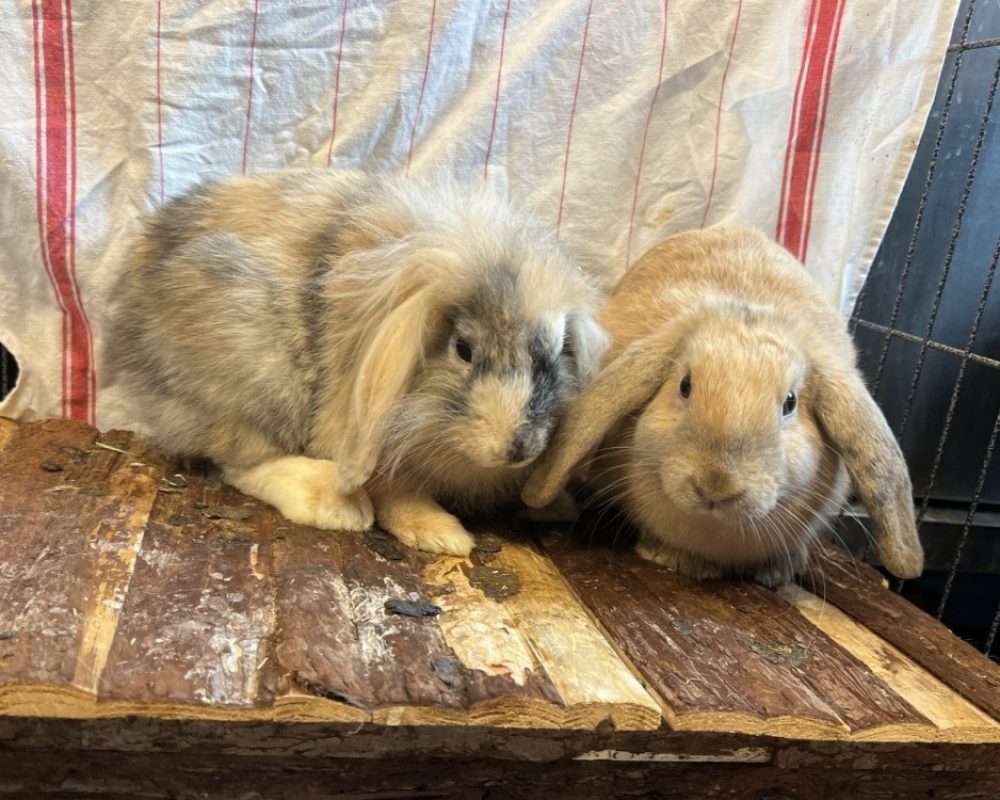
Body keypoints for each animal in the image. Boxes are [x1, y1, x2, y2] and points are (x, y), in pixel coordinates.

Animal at [105, 168, 607, 556]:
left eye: (557, 351)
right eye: (463, 348)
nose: (519, 449)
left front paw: (552, 504)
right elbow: (399, 494)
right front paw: (441, 536)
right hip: (250, 375)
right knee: (242, 463)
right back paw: (334, 504)